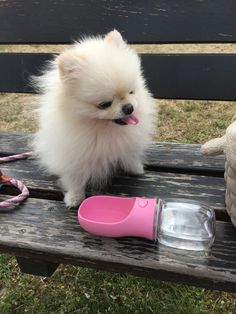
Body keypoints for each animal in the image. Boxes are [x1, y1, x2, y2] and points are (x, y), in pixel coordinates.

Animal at [32, 28, 157, 206]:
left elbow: (129, 155)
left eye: (131, 91)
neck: (102, 128)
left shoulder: (127, 144)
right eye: (105, 104)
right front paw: (75, 196)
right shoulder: (73, 155)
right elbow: (75, 178)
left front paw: (135, 168)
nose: (129, 107)